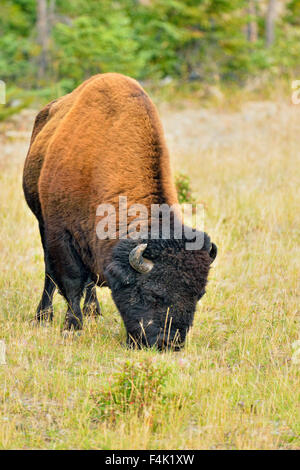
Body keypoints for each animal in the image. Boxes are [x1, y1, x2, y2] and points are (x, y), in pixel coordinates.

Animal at [22, 73, 216, 348]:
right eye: (153, 293)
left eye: (199, 295)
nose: (169, 343)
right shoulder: (60, 234)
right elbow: (70, 281)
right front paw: (72, 327)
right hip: (41, 223)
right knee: (51, 273)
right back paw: (44, 316)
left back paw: (93, 311)